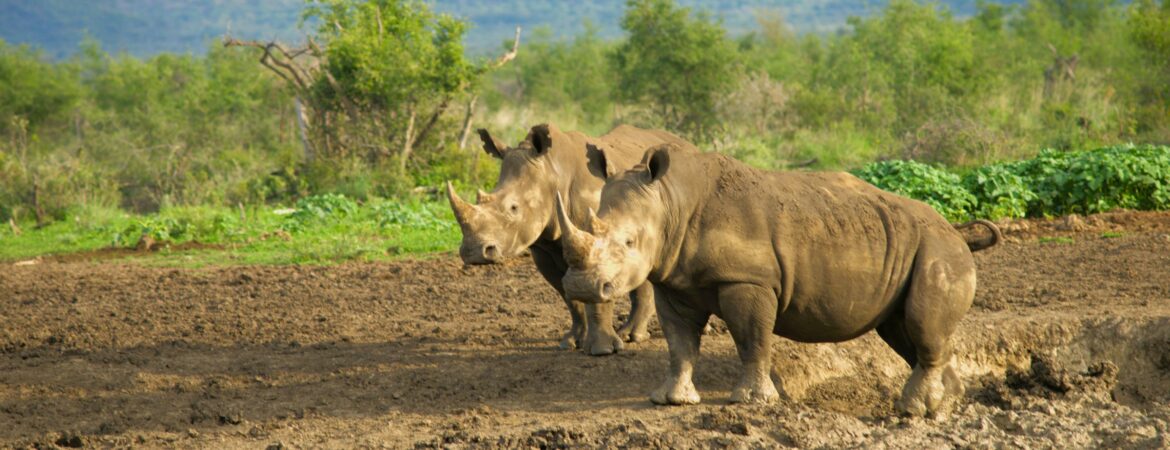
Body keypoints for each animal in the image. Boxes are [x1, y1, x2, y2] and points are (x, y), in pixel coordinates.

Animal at [449, 122, 697, 355]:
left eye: (513, 208)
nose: (474, 252)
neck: (553, 173)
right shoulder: (543, 248)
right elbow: (568, 295)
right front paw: (572, 341)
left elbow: (597, 294)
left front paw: (602, 349)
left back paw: (633, 336)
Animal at [552, 143, 1001, 416]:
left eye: (629, 241)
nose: (582, 287)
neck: (671, 201)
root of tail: (955, 231)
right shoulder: (674, 282)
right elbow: (680, 344)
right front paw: (671, 400)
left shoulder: (748, 280)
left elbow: (752, 339)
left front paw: (751, 401)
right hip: (914, 247)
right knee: (902, 330)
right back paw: (944, 403)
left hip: (937, 250)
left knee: (922, 325)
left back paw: (913, 410)